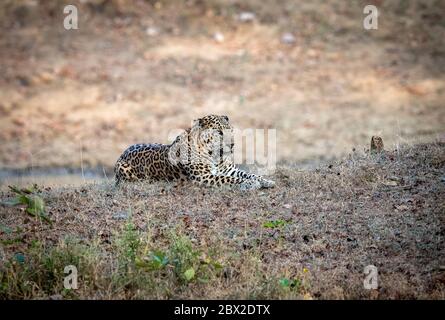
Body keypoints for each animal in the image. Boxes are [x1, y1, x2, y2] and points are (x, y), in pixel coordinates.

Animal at [114, 114, 274, 190]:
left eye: (230, 130)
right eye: (219, 132)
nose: (232, 144)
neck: (216, 156)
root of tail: (124, 151)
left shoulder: (229, 170)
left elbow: (250, 174)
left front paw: (266, 181)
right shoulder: (203, 177)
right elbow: (232, 179)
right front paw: (251, 184)